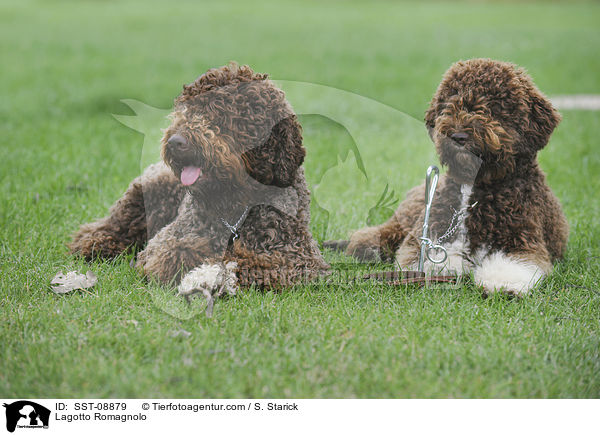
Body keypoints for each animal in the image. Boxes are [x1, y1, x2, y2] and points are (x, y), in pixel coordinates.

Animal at [69, 63, 328, 296]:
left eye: (220, 113)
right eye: (186, 110)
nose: (175, 141)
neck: (236, 204)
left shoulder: (297, 257)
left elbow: (253, 264)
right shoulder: (166, 242)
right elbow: (176, 253)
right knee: (109, 226)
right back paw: (96, 243)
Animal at [326, 58, 568, 296]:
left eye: (493, 106)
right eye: (451, 103)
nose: (458, 135)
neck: (475, 190)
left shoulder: (523, 240)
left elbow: (513, 263)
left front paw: (502, 282)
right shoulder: (425, 237)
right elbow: (427, 258)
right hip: (411, 214)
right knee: (383, 232)